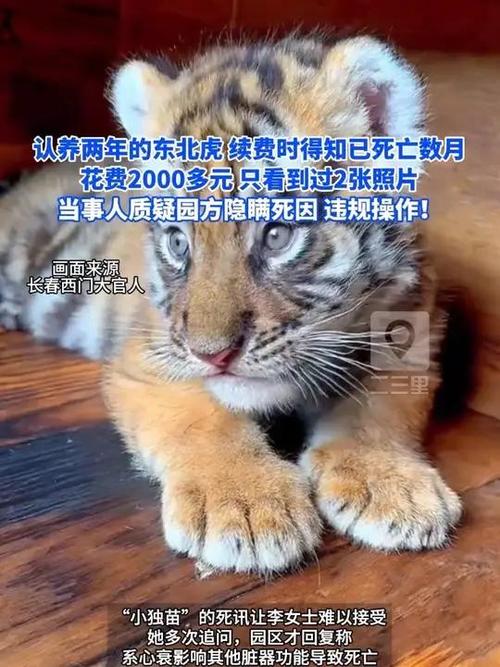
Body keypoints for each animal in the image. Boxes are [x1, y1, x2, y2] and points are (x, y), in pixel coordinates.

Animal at [0, 32, 462, 574]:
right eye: (178, 242)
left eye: (278, 234)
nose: (213, 355)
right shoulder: (148, 357)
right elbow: (200, 416)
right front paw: (245, 505)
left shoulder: (416, 324)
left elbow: (383, 405)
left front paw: (391, 485)